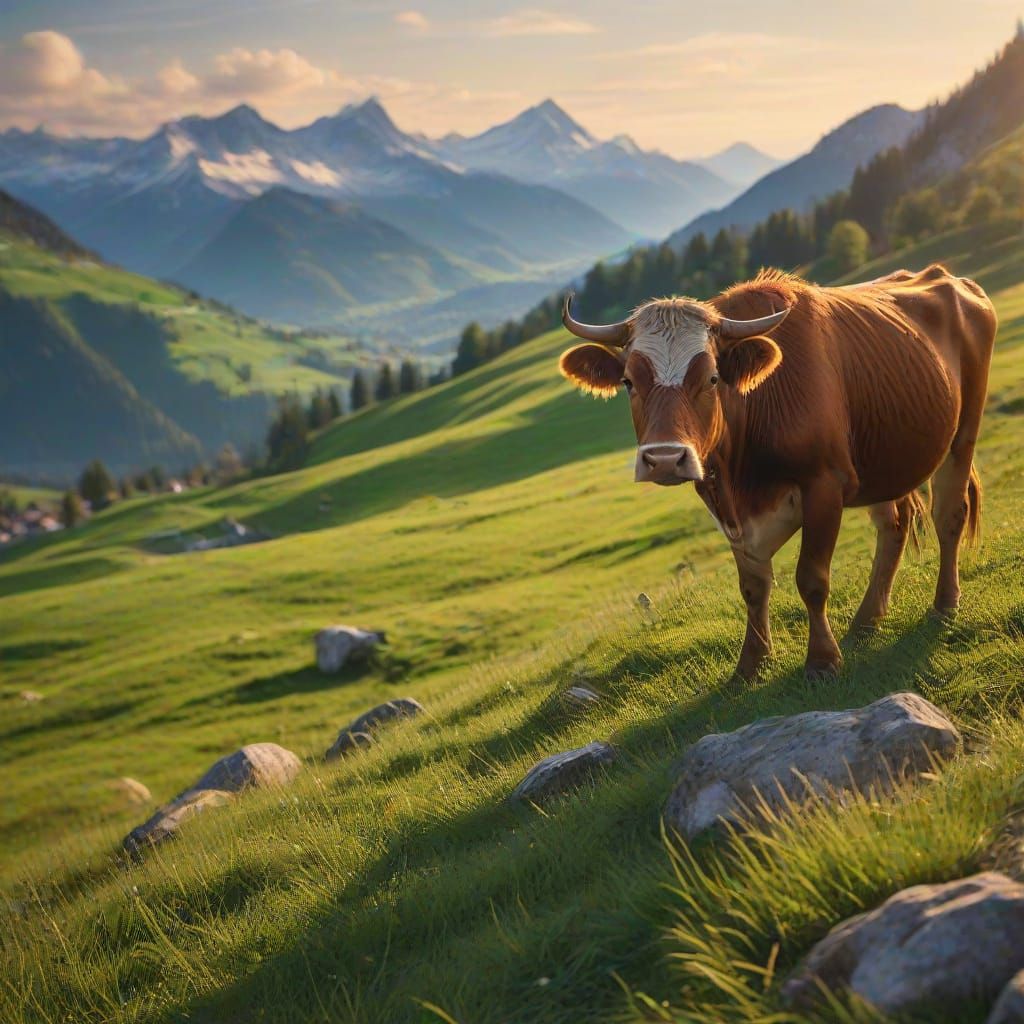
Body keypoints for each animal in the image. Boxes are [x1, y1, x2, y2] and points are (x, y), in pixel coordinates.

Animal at [558, 266, 996, 680]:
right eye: (629, 381)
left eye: (712, 378)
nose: (665, 459)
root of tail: (947, 277)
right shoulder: (727, 510)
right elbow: (753, 588)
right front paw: (750, 665)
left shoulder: (824, 485)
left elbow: (811, 578)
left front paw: (821, 661)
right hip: (886, 458)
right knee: (895, 524)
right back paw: (866, 621)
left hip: (963, 434)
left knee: (948, 514)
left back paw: (944, 605)